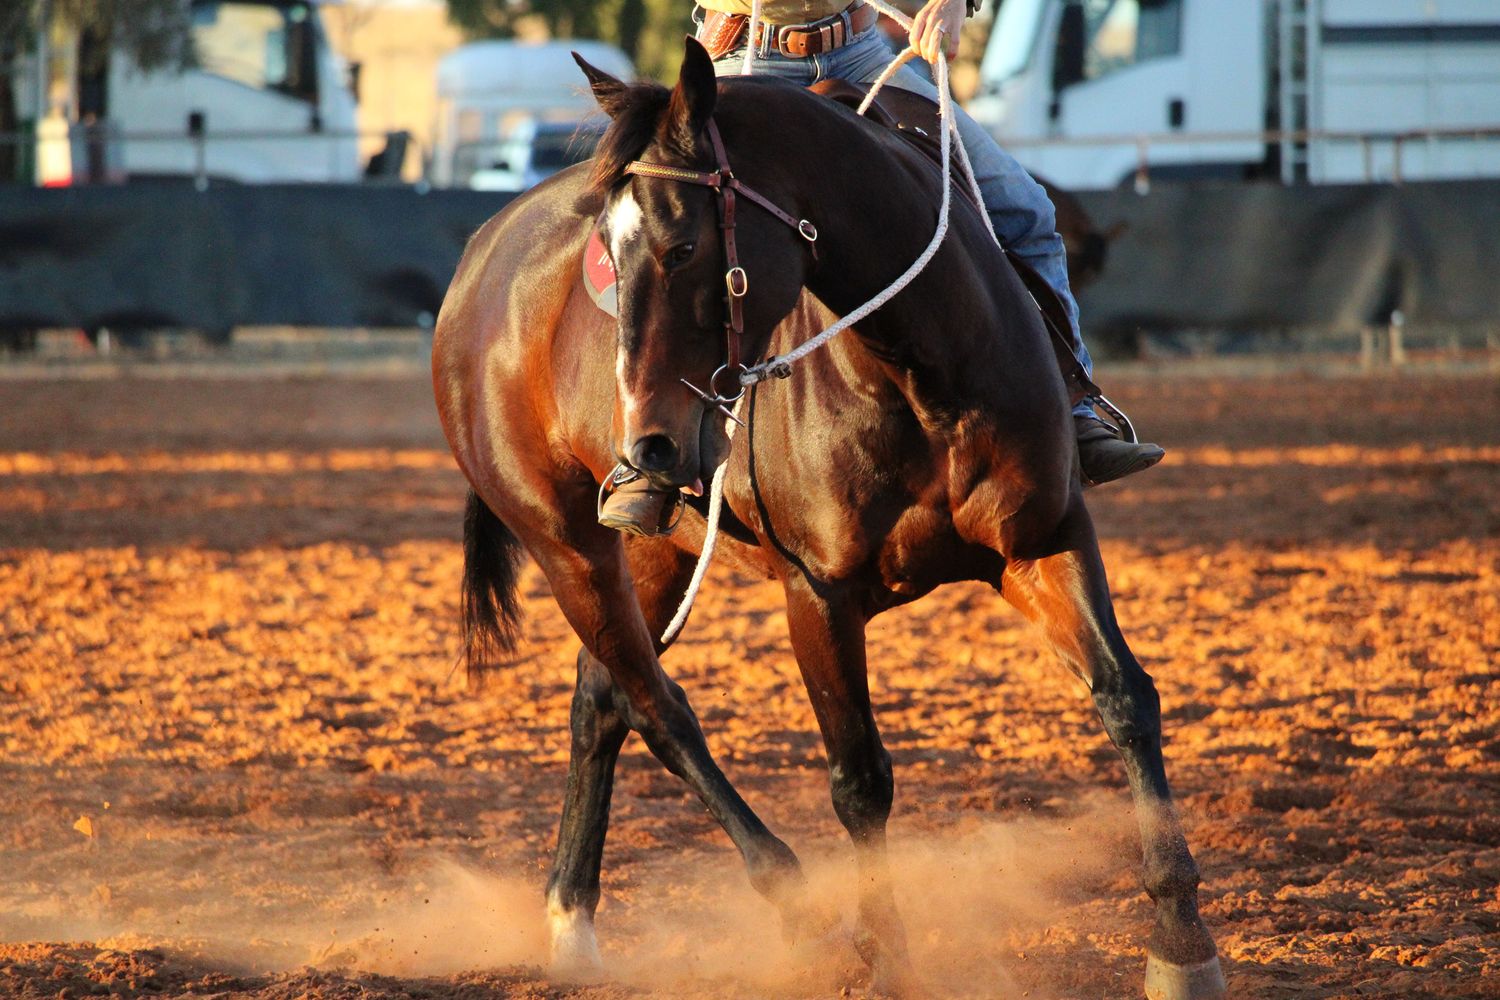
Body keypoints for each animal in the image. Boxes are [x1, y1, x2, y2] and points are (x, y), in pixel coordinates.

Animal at [431, 37, 1225, 1000]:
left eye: (682, 244)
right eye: (608, 263)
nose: (651, 444)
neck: (918, 369)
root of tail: (480, 257)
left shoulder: (1043, 540)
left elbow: (1125, 698)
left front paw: (1181, 944)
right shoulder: (818, 596)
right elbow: (859, 780)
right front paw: (885, 959)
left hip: (653, 551)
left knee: (600, 701)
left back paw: (572, 924)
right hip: (564, 545)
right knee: (657, 706)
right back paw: (794, 904)